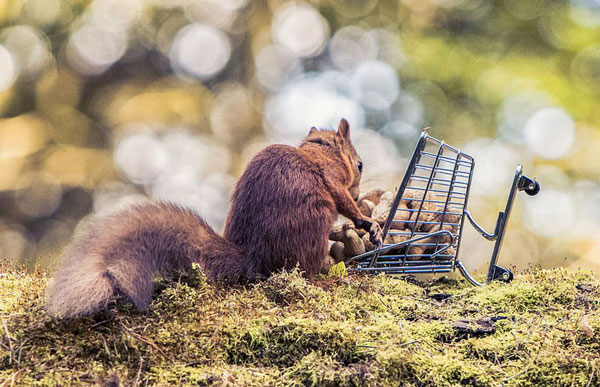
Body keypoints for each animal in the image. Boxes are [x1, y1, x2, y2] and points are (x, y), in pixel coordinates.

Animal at [48, 119, 384, 320]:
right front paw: (366, 222)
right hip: (310, 229)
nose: (360, 190)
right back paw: (329, 275)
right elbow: (344, 202)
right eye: (360, 164)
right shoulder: (332, 179)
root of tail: (254, 260)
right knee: (304, 273)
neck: (319, 151)